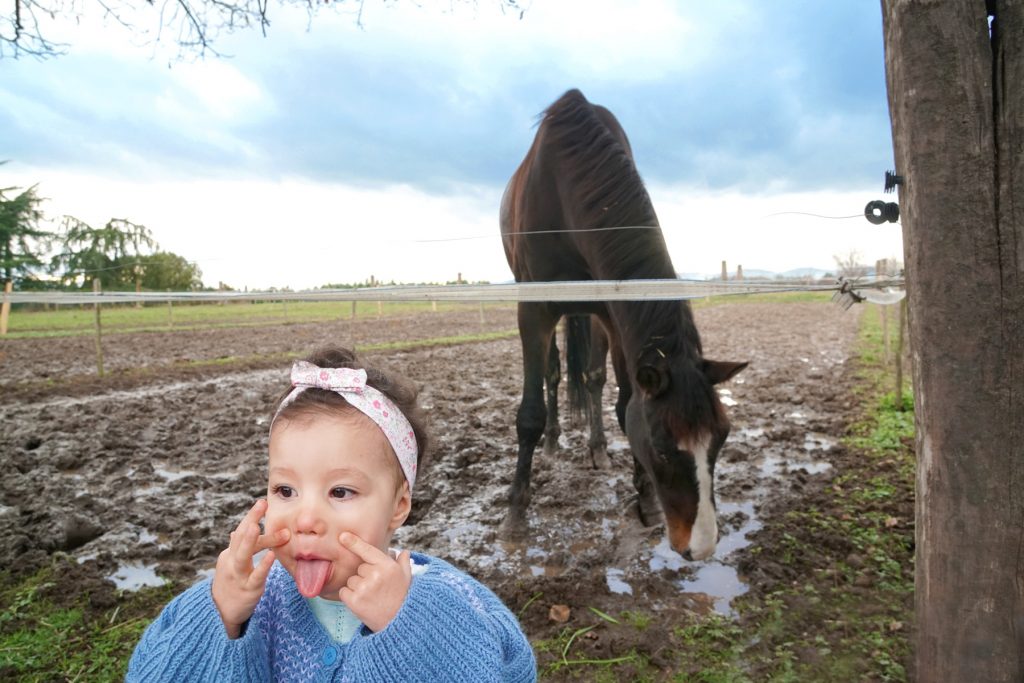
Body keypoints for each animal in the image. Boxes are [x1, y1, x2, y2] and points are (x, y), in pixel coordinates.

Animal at [500, 89, 748, 560]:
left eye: (721, 439)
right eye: (665, 450)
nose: (702, 546)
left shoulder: (611, 313)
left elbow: (624, 400)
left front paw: (644, 499)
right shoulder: (533, 309)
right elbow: (530, 412)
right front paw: (516, 513)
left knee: (591, 377)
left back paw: (596, 448)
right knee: (554, 373)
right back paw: (555, 440)